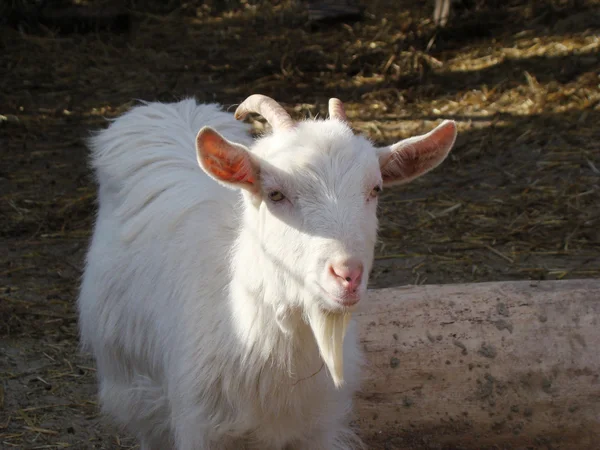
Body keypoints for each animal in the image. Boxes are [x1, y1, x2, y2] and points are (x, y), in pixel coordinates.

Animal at [77, 95, 458, 450]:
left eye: (375, 189)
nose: (347, 274)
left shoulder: (317, 428)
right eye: (275, 193)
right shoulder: (197, 426)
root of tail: (169, 106)